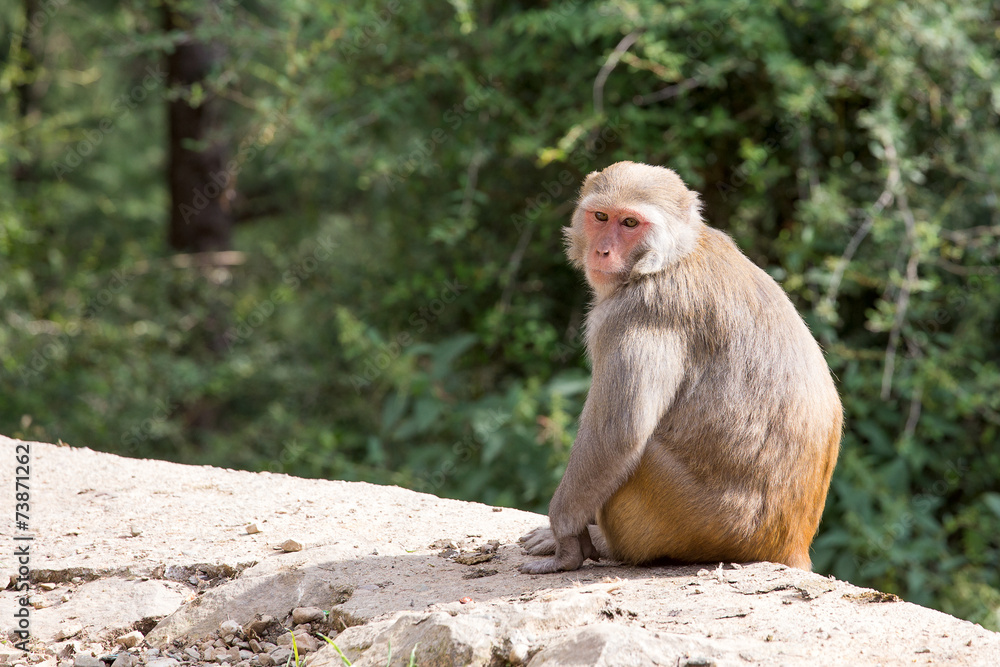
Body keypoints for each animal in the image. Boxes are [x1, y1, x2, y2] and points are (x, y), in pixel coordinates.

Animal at [520, 162, 840, 576]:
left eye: (630, 222)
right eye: (601, 216)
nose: (602, 250)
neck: (670, 257)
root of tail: (791, 544)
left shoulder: (633, 314)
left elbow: (617, 435)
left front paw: (565, 536)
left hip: (696, 522)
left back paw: (606, 543)